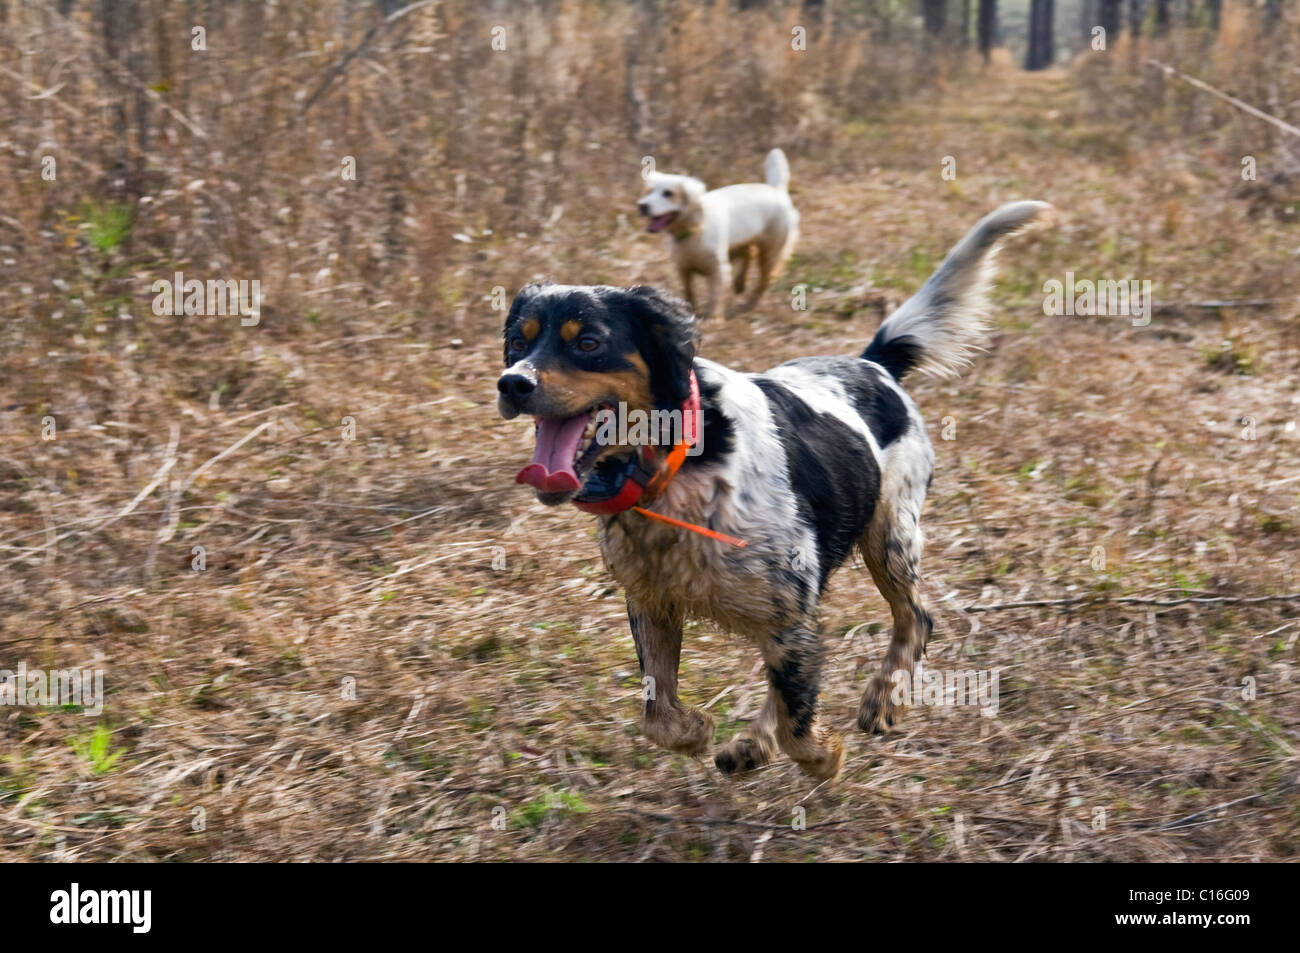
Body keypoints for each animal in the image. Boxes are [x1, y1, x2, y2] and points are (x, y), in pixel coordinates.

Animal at [496, 202, 1045, 780]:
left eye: (588, 342)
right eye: (517, 342)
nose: (513, 383)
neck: (680, 467)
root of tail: (874, 364)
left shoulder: (788, 609)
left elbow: (797, 723)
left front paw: (825, 755)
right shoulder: (652, 602)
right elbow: (660, 715)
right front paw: (700, 731)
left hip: (890, 537)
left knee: (915, 618)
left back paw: (881, 699)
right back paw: (753, 743)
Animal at [637, 147, 795, 319]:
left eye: (668, 193)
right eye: (649, 191)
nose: (642, 205)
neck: (693, 230)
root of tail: (777, 189)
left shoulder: (718, 271)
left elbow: (715, 299)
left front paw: (713, 320)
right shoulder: (683, 269)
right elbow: (689, 292)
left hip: (769, 253)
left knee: (765, 280)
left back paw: (748, 304)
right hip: (740, 245)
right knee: (748, 255)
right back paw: (740, 284)